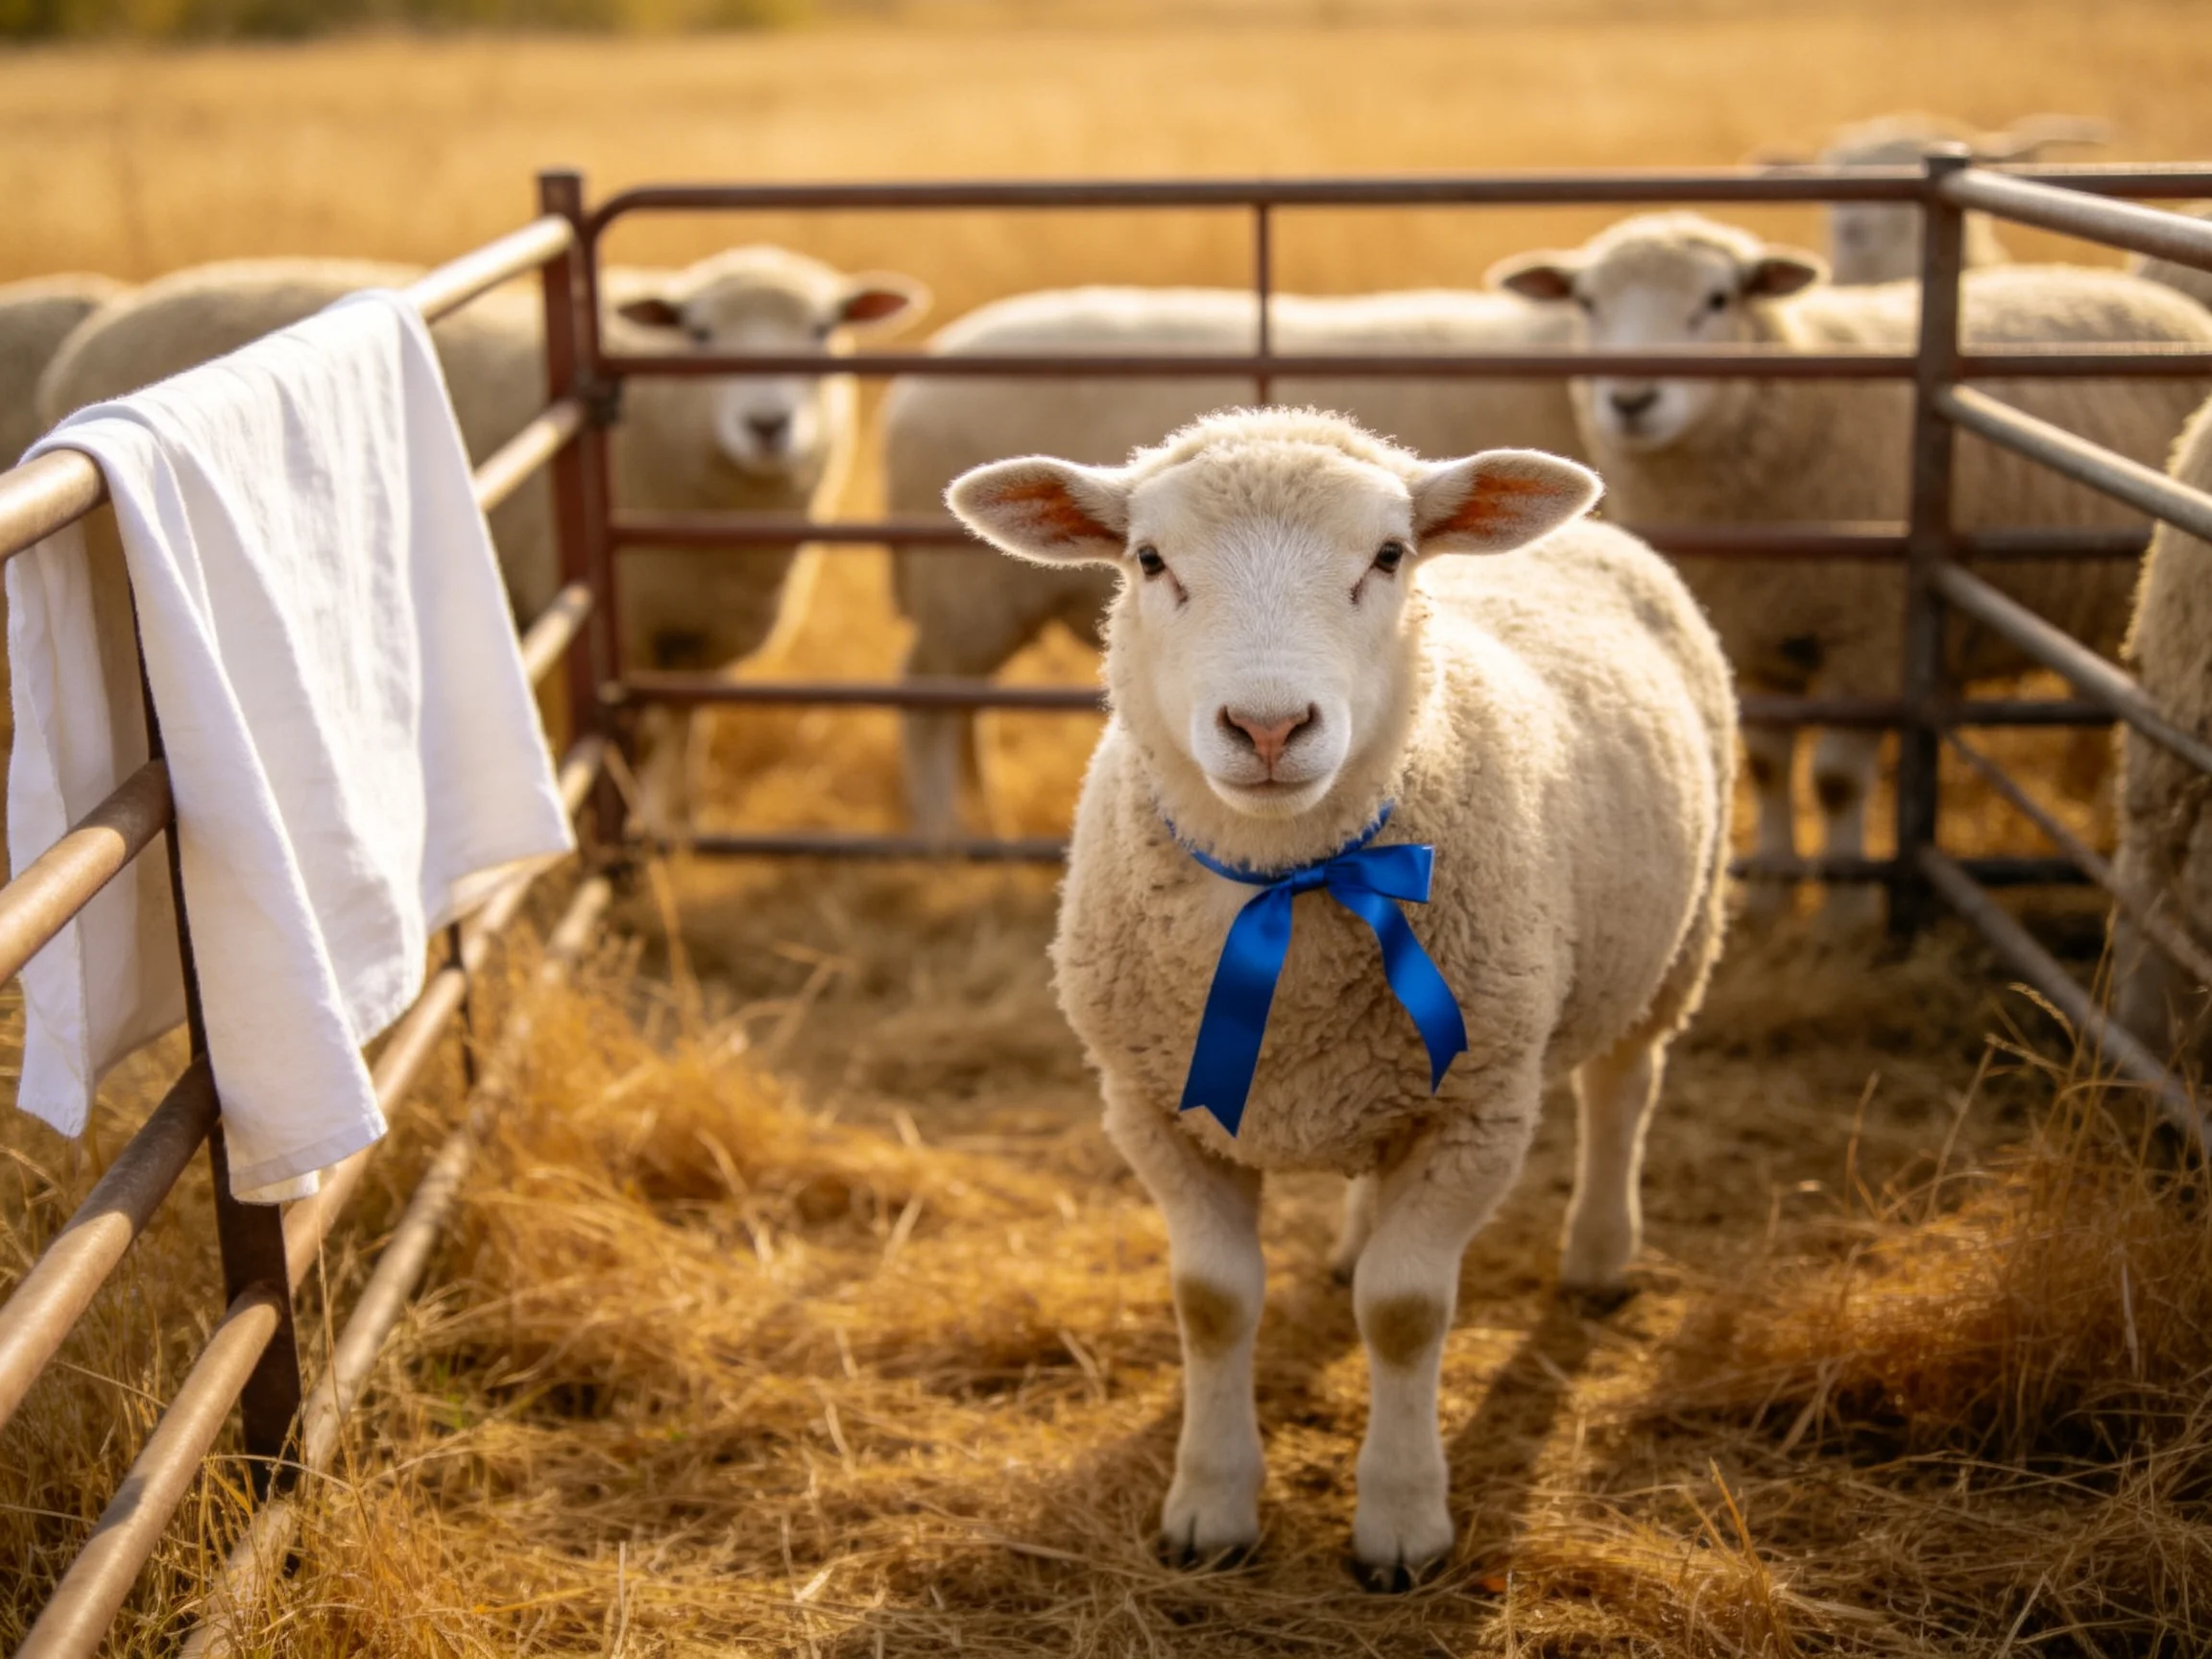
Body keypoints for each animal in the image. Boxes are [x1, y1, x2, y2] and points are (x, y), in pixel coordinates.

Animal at [36, 250, 927, 832]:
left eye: (823, 327)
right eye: (699, 334)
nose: (768, 425)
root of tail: (99, 325)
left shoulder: (700, 634)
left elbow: (688, 737)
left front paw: (681, 828)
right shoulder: (632, 627)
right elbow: (639, 745)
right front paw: (640, 844)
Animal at [881, 285, 1586, 839]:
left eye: (1389, 555)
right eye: (1150, 559)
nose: (1268, 730)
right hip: (962, 591)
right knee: (928, 696)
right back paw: (943, 839)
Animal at [947, 407, 1735, 1584]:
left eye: (1389, 556)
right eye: (1149, 561)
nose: (1269, 728)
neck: (1288, 887)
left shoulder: (1477, 1111)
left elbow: (1406, 1313)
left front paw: (1401, 1525)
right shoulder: (1154, 1109)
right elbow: (1214, 1305)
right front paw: (1210, 1509)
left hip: (1674, 940)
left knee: (1622, 1091)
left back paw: (1599, 1256)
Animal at [1493, 211, 2212, 931]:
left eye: (1719, 299)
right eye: (1587, 302)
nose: (1632, 399)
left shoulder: (1875, 636)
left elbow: (1835, 778)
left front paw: (1845, 909)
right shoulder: (1750, 635)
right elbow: (1766, 763)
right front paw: (1770, 890)